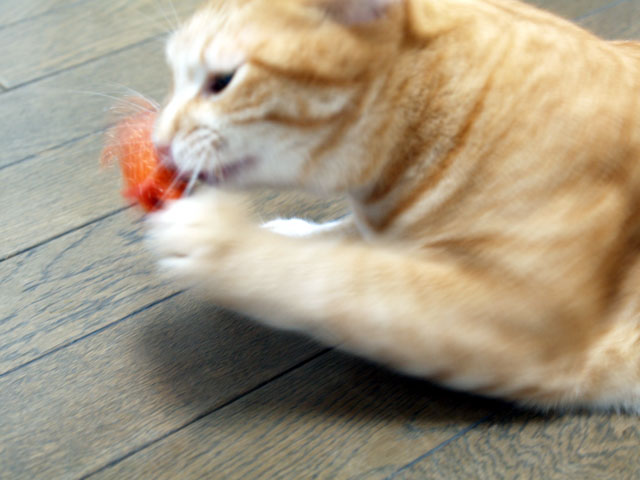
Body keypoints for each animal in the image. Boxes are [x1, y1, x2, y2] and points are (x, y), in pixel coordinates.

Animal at [147, 0, 640, 412]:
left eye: (221, 82)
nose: (157, 142)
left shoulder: (525, 314)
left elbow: (339, 279)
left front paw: (224, 243)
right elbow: (340, 242)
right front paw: (291, 231)